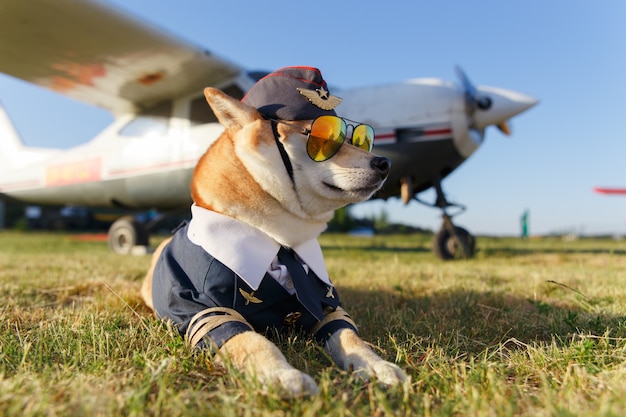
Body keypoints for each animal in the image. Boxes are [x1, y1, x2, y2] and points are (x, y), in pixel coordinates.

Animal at [140, 66, 404, 394]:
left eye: (360, 140)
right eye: (324, 138)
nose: (385, 162)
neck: (280, 241)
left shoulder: (327, 305)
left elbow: (351, 337)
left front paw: (377, 365)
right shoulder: (202, 310)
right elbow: (253, 342)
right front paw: (282, 374)